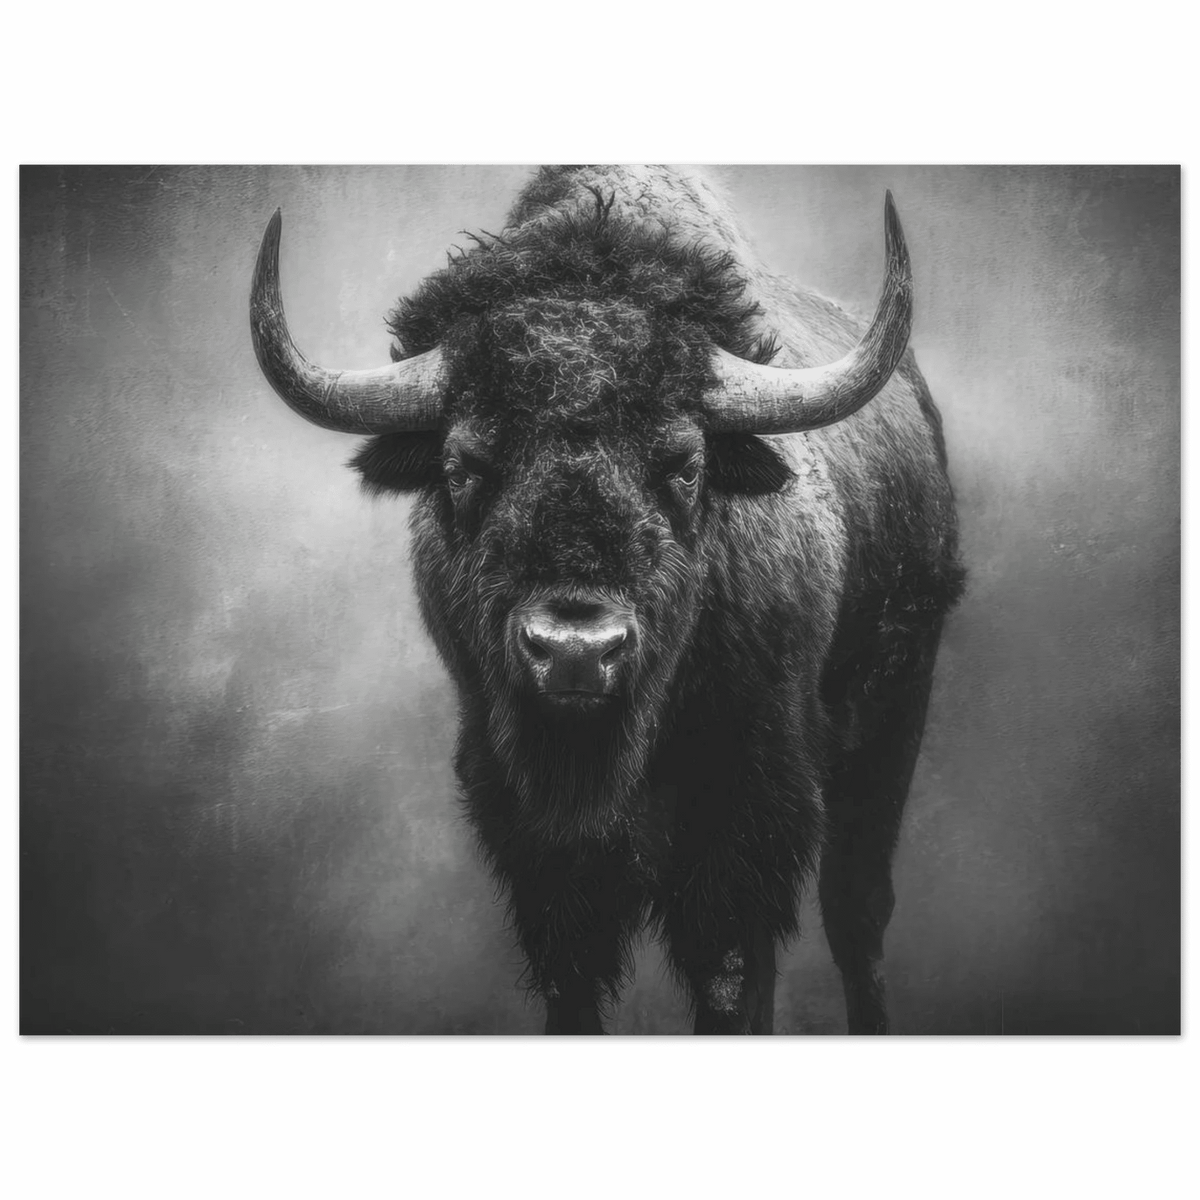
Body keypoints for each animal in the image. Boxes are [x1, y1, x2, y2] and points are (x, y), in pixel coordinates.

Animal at [250, 164, 965, 1036]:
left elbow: (730, 974)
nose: (575, 652)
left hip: (890, 717)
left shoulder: (746, 816)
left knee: (856, 912)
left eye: (685, 463)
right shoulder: (531, 837)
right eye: (463, 465)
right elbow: (574, 978)